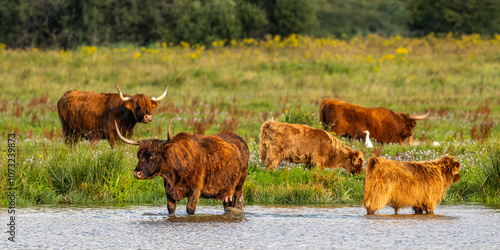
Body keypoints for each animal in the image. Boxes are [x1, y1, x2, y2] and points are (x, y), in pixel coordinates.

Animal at [116, 119, 250, 215]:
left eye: (151, 155)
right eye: (138, 155)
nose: (137, 173)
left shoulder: (195, 190)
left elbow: (190, 209)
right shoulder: (169, 191)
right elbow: (170, 209)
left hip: (239, 186)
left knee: (238, 204)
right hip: (226, 191)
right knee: (228, 206)